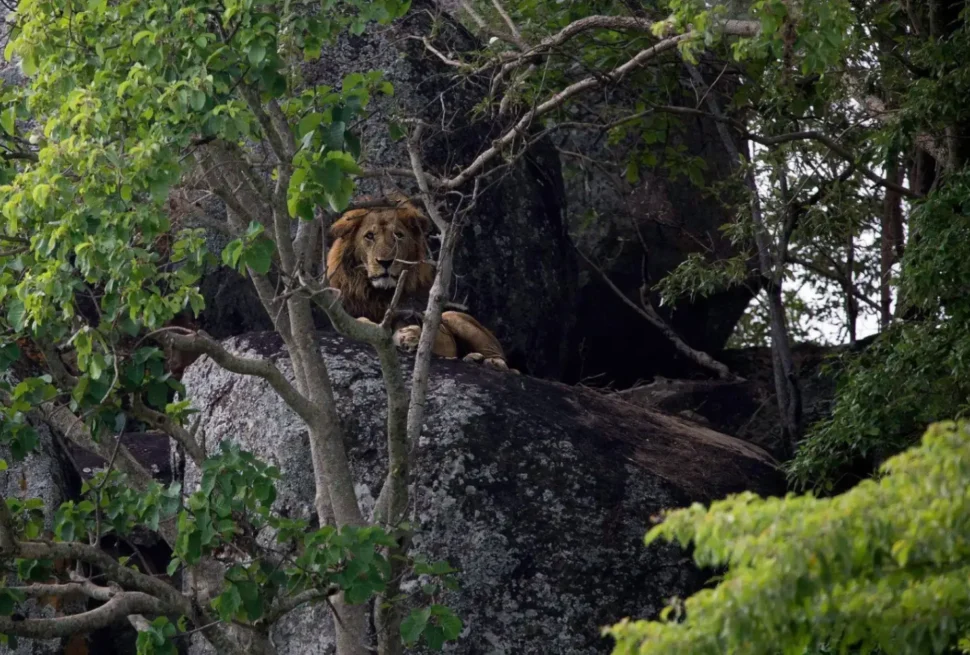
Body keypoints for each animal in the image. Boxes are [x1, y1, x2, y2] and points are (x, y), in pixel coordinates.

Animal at [325, 197, 512, 371]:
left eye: (398, 235)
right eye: (369, 236)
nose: (385, 262)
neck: (379, 294)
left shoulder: (441, 340)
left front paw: (409, 336)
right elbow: (362, 322)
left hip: (455, 318)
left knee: (507, 364)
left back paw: (489, 361)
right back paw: (473, 358)